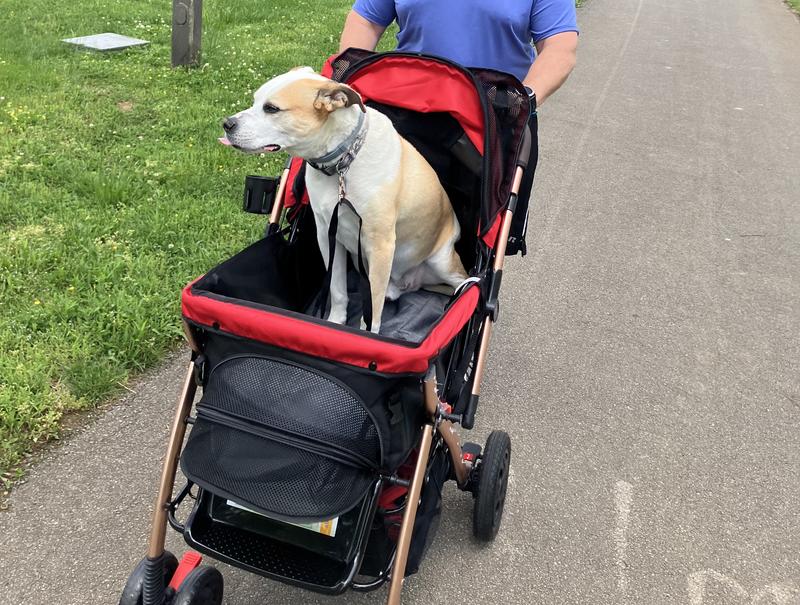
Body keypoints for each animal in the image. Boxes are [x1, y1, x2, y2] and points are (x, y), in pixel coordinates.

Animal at [221, 67, 467, 333]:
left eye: (271, 109)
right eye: (255, 100)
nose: (226, 124)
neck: (342, 165)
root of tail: (409, 283)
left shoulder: (380, 245)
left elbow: (372, 314)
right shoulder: (328, 236)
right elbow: (337, 288)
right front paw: (335, 323)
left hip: (442, 261)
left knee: (463, 282)